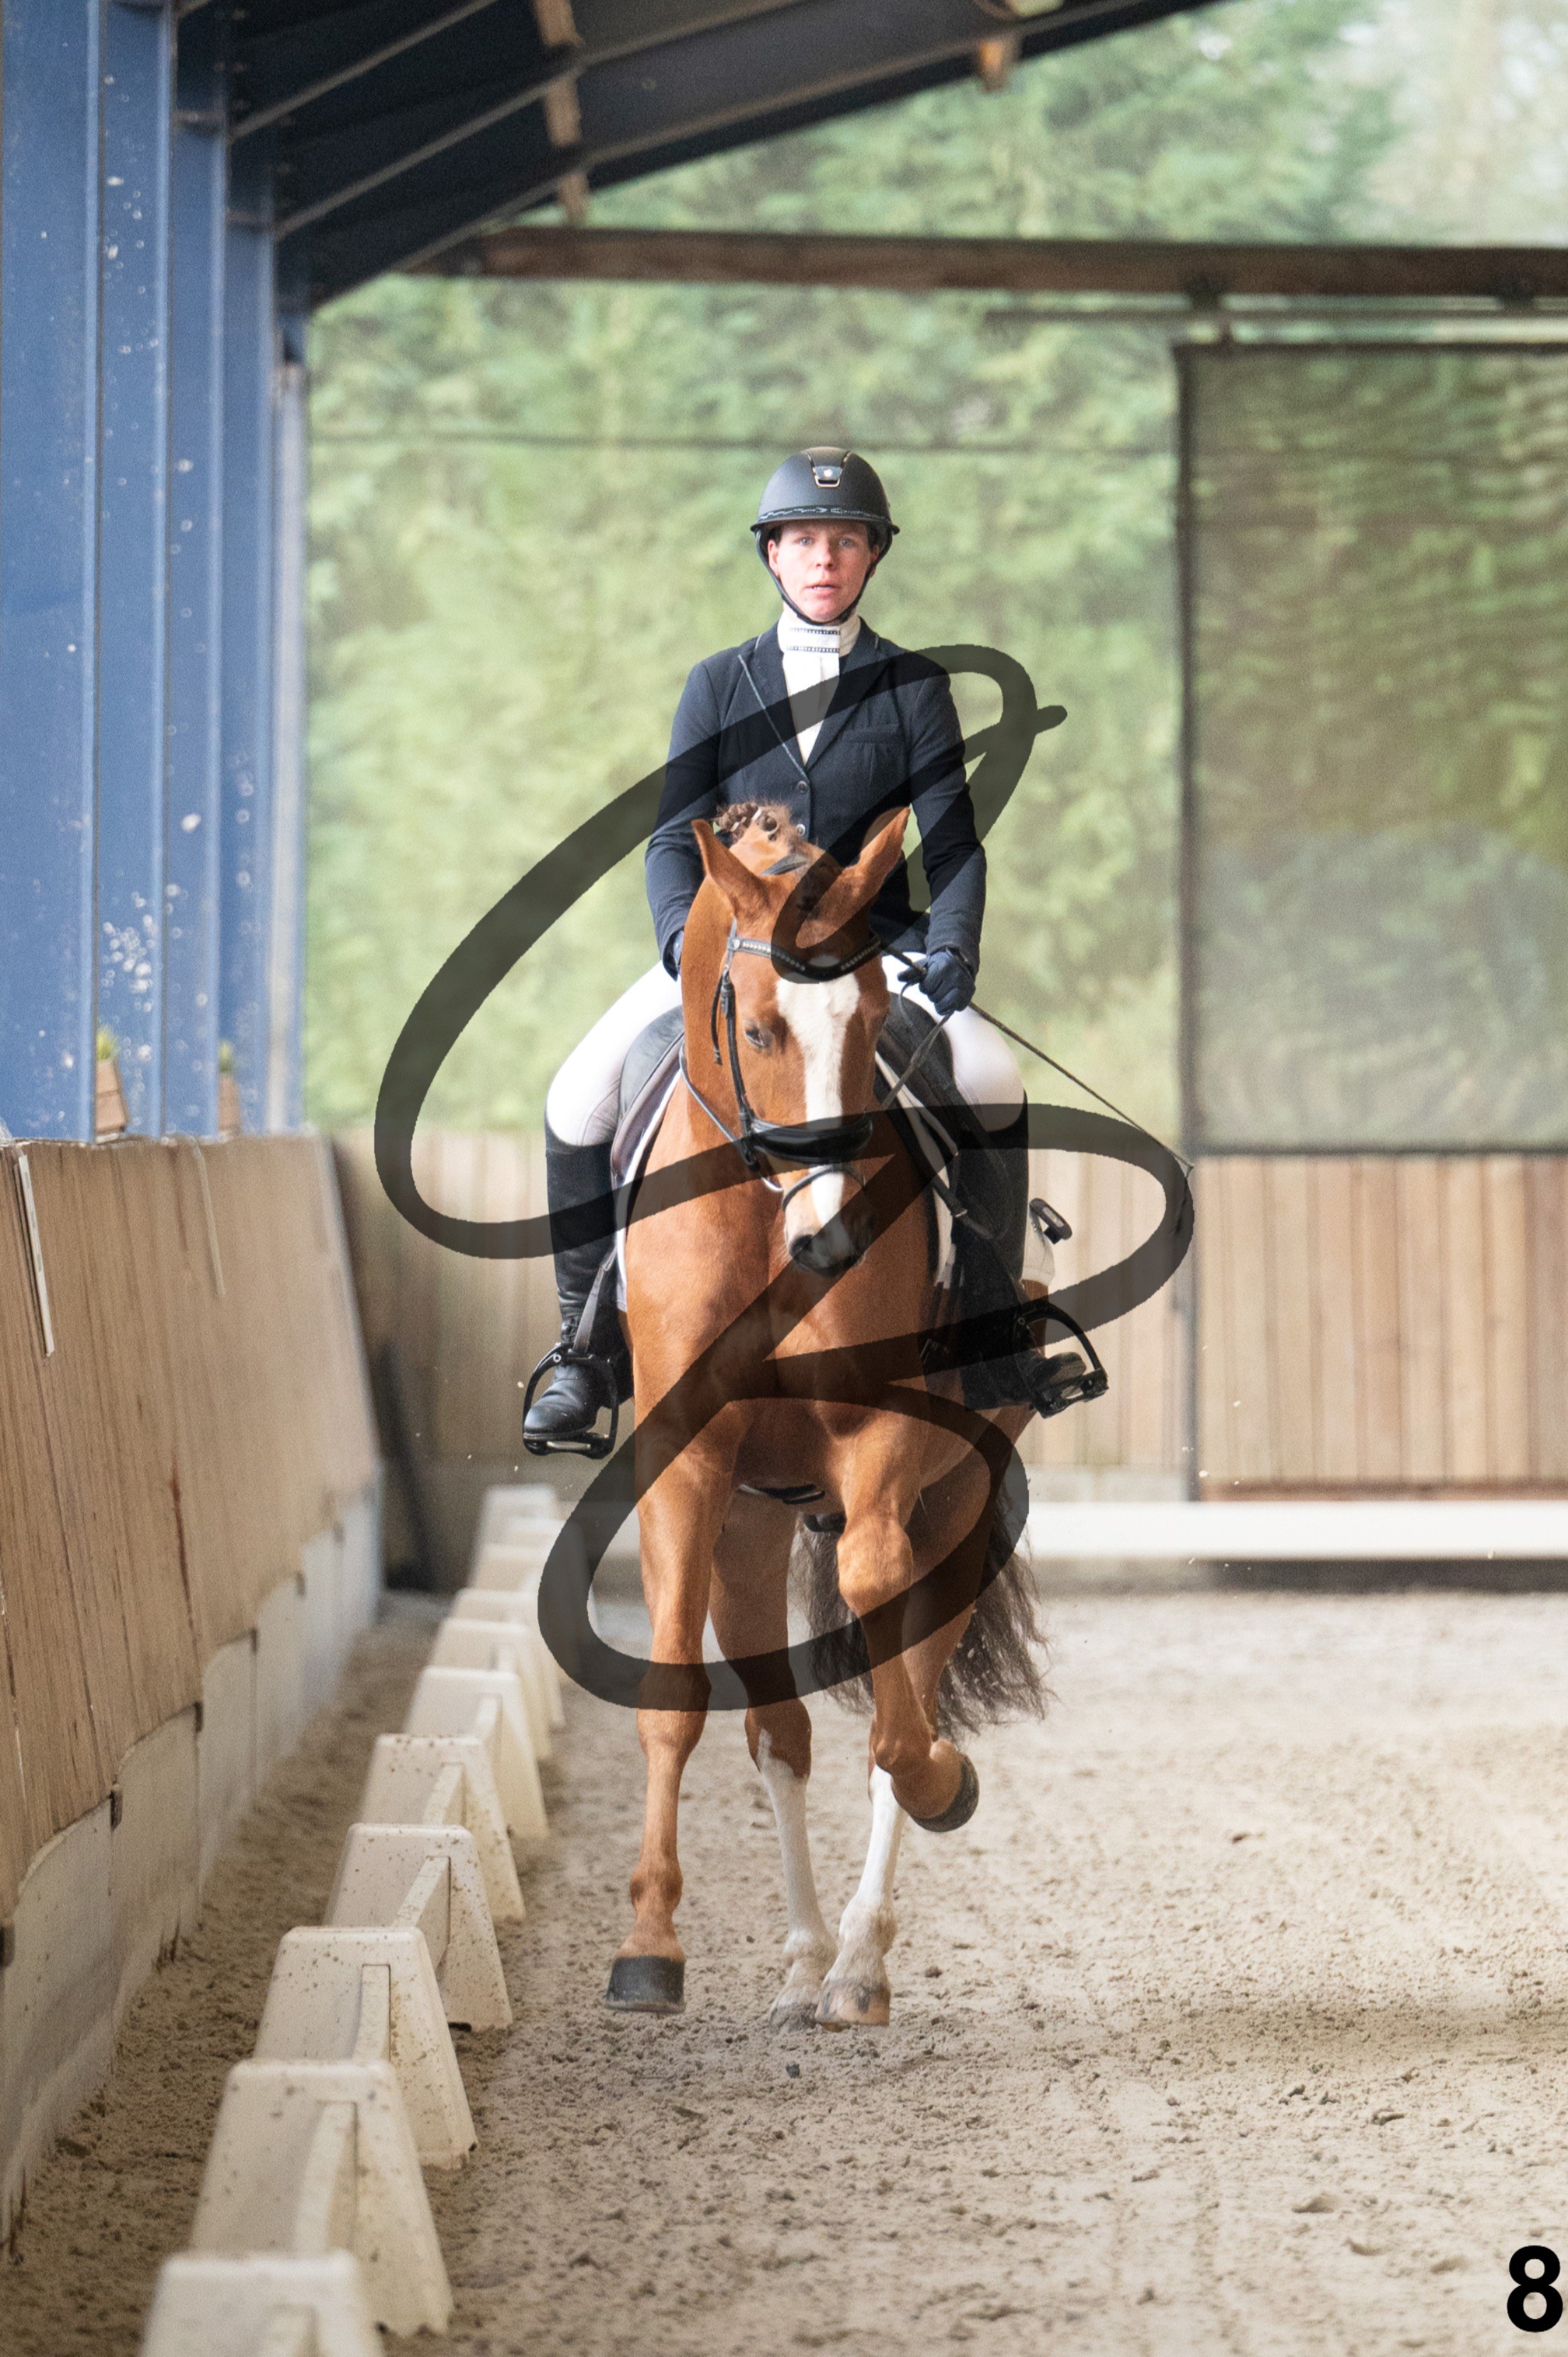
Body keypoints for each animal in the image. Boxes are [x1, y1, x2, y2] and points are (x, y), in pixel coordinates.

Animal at [614, 800, 1047, 2027]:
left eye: (872, 1025)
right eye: (759, 1031)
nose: (835, 1242)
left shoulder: (879, 1446)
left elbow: (893, 1688)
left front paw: (948, 1783)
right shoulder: (688, 1465)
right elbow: (675, 1693)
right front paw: (650, 1945)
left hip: (957, 1496)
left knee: (902, 1683)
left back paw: (855, 1960)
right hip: (755, 1527)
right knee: (782, 1732)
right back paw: (805, 1962)